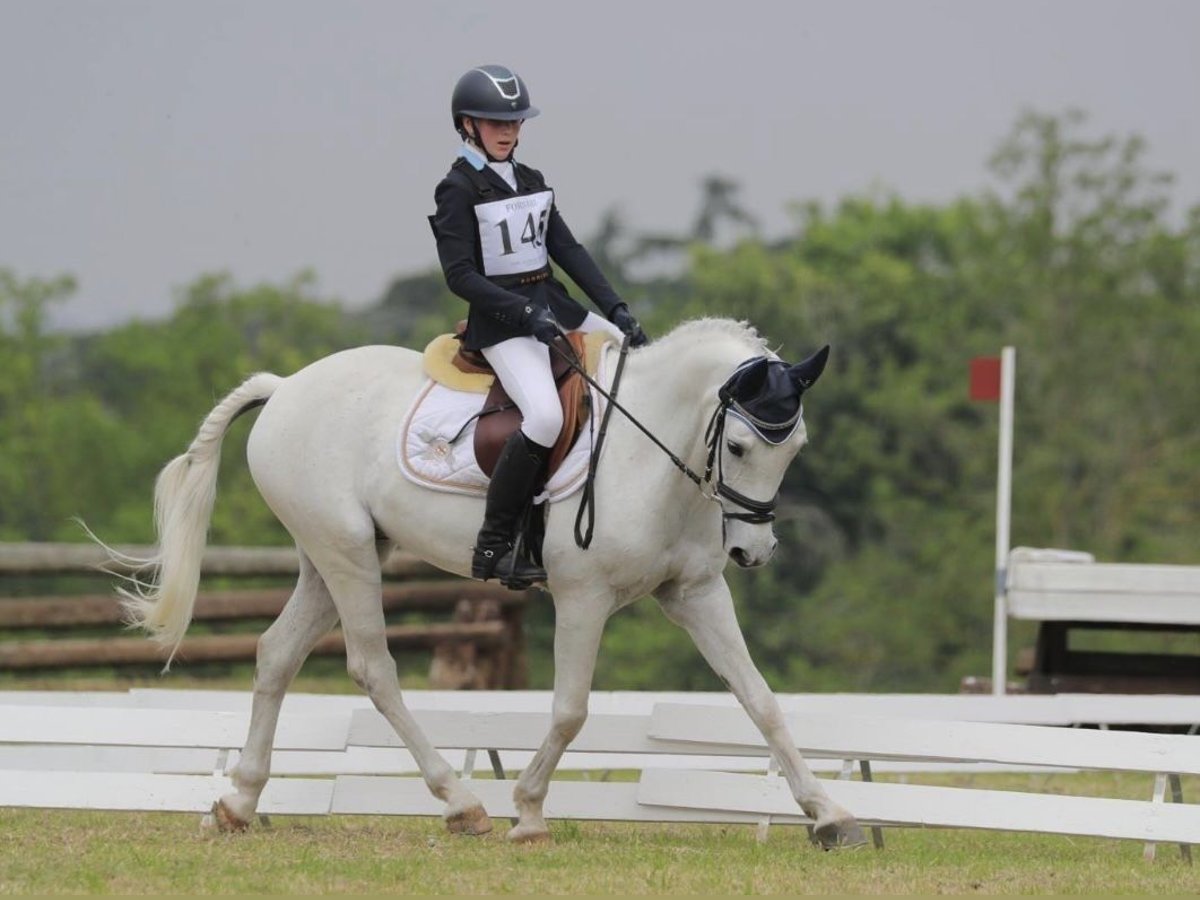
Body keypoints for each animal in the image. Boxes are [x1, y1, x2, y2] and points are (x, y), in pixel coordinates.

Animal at [100, 317, 865, 849]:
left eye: (794, 448)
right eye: (736, 446)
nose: (753, 551)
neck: (646, 453)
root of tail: (287, 387)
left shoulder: (697, 594)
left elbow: (761, 701)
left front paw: (830, 815)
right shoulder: (584, 597)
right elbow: (570, 710)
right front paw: (527, 812)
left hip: (330, 555)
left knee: (276, 656)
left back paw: (238, 804)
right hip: (347, 554)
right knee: (373, 667)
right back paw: (462, 803)